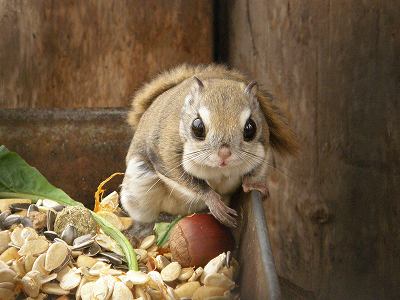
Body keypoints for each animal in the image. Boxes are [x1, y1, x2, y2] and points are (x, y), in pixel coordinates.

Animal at [119, 63, 296, 227]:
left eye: (250, 128)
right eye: (197, 127)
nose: (224, 154)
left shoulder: (264, 148)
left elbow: (255, 171)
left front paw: (252, 184)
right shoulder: (165, 152)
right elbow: (186, 179)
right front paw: (213, 201)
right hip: (139, 185)